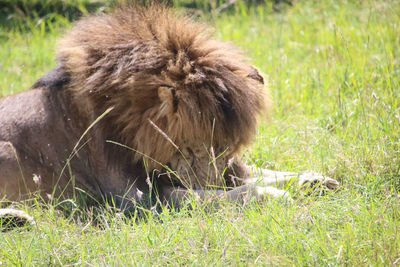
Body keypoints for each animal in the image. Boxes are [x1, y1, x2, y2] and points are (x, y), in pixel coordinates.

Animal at [0, 3, 340, 219]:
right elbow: (221, 194)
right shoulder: (138, 199)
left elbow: (262, 172)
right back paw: (18, 217)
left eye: (227, 148)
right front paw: (273, 195)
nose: (215, 180)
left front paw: (314, 180)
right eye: (191, 148)